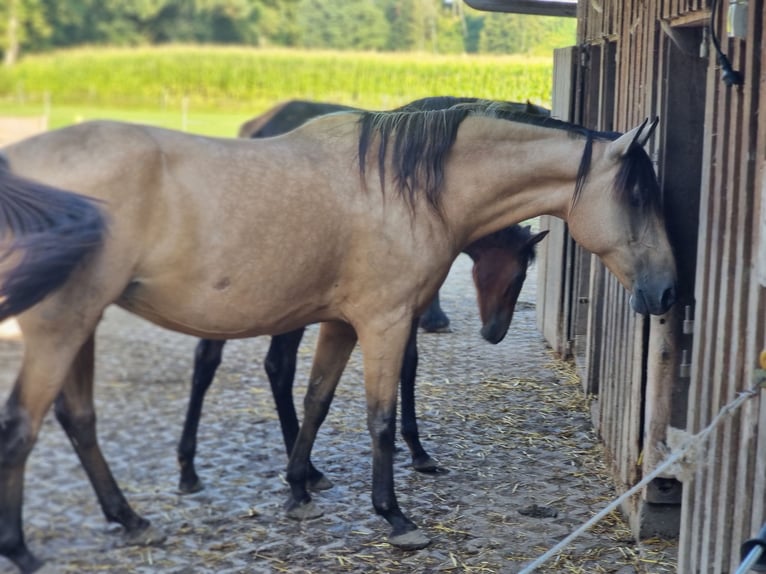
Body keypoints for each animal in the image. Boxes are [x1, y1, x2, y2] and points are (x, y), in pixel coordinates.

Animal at [178, 97, 552, 492]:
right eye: (518, 275)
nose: (494, 333)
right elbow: (408, 365)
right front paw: (417, 449)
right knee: (277, 367)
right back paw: (306, 470)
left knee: (208, 360)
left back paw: (190, 468)